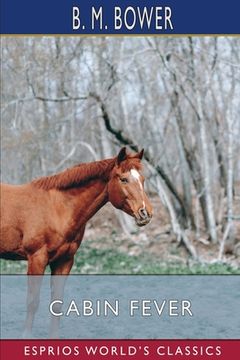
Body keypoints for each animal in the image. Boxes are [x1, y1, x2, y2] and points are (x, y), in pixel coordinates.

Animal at [0, 147, 152, 338]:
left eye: (143, 180)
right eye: (123, 179)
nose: (146, 213)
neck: (57, 209)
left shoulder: (64, 261)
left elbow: (57, 304)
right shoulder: (37, 259)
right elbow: (32, 302)